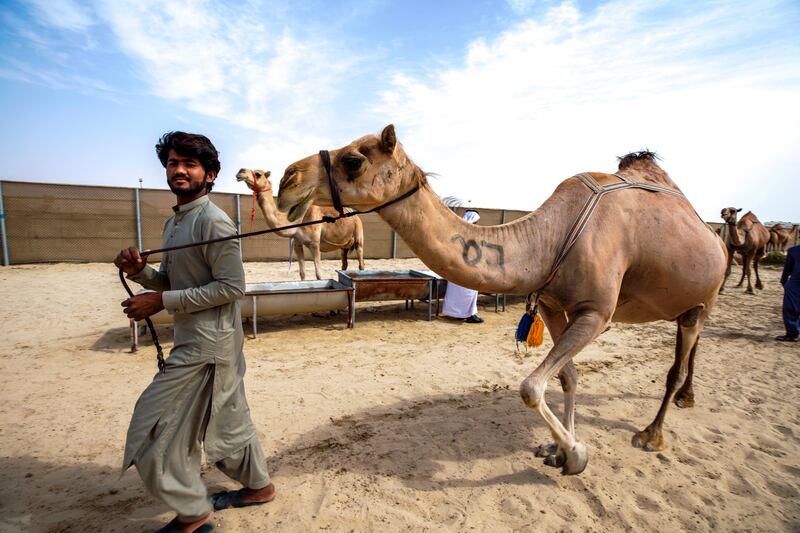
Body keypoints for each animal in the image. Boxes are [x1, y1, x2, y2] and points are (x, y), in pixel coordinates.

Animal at [234, 168, 366, 280]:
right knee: (344, 264)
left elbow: (319, 274)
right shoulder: (297, 243)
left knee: (361, 260)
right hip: (345, 244)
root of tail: (355, 216)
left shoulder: (314, 243)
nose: (240, 171)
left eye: (258, 174)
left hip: (358, 232)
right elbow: (302, 273)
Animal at [278, 124, 728, 474]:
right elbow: (568, 375)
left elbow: (531, 386)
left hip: (707, 296)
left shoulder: (598, 312)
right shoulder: (552, 303)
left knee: (677, 363)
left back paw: (652, 434)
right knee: (691, 346)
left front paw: (576, 453)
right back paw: (687, 397)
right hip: (693, 303)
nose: (287, 180)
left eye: (354, 160)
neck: (551, 238)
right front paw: (557, 449)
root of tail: (718, 240)